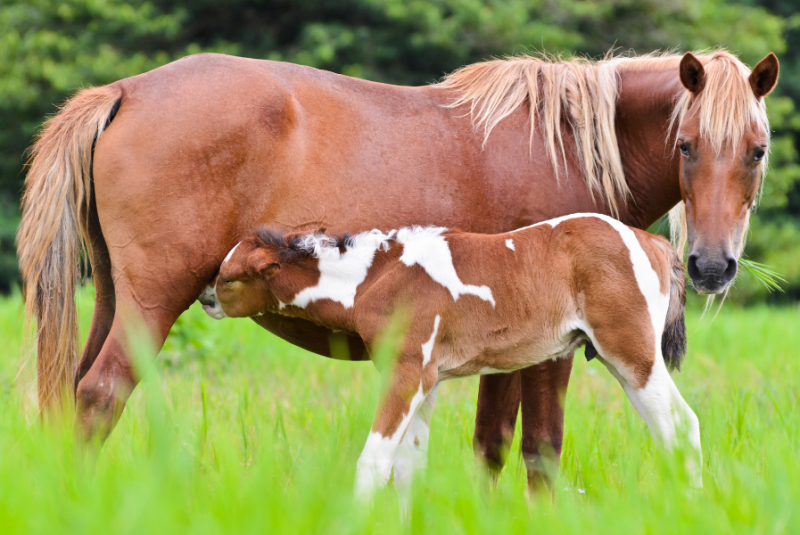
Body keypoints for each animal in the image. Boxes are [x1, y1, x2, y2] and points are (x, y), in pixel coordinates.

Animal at [201, 215, 698, 505]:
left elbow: (374, 462)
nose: (205, 298)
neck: (376, 278)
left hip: (632, 354)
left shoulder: (407, 373)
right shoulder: (429, 380)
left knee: (679, 424)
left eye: (229, 279)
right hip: (623, 362)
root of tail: (651, 242)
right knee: (671, 428)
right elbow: (409, 467)